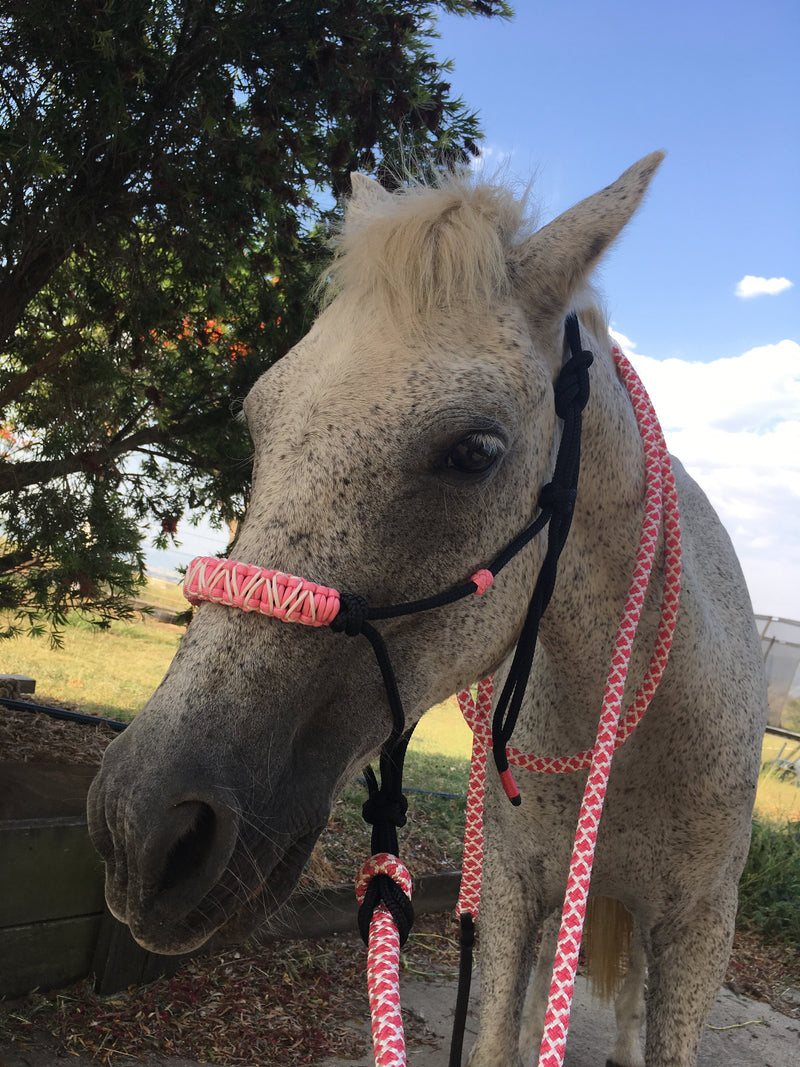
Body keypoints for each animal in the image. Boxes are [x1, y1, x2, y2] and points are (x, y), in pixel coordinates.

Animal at [84, 155, 768, 1067]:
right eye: (260, 422)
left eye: (474, 452)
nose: (139, 829)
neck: (637, 732)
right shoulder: (513, 895)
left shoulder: (701, 929)